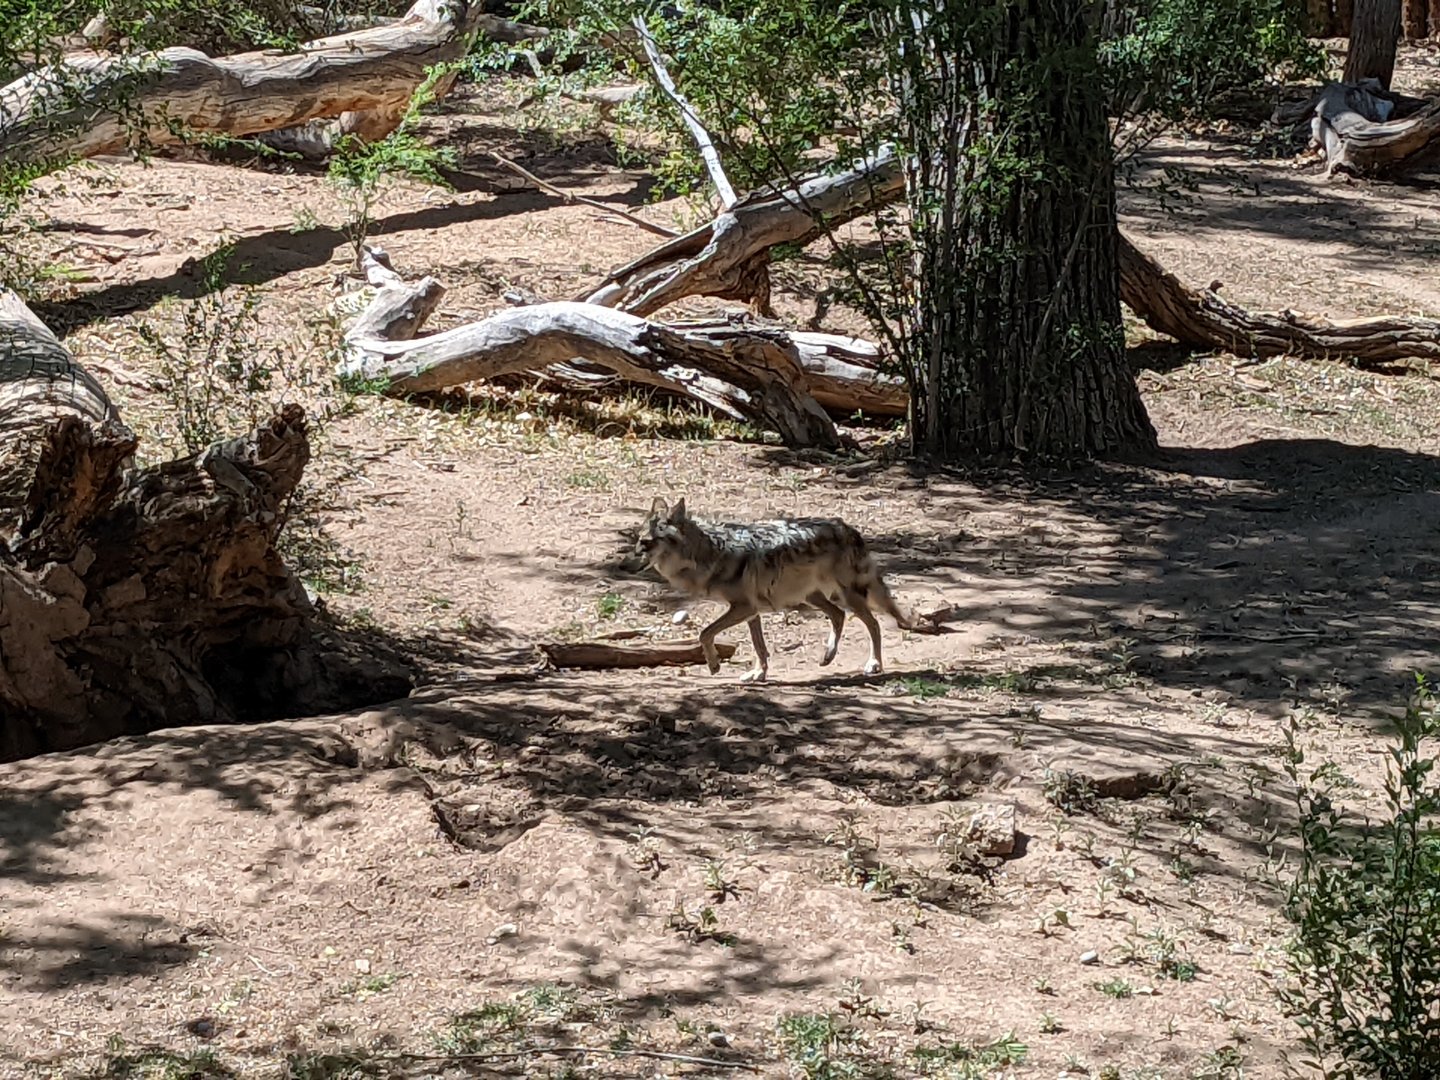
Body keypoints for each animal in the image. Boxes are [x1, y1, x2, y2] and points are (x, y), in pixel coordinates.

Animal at [635, 497, 916, 682]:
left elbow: (704, 634)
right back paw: (827, 657)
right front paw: (758, 673)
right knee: (839, 616)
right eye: (639, 540)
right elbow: (759, 647)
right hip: (812, 596)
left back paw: (874, 664)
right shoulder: (751, 612)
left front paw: (714, 665)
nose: (633, 556)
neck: (710, 553)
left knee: (873, 623)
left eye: (648, 542)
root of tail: (848, 528)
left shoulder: (743, 608)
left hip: (846, 595)